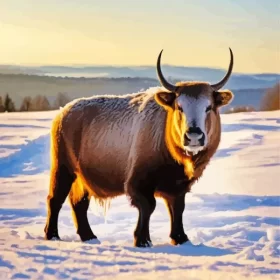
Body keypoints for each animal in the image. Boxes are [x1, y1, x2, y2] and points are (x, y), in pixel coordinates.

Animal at [44, 48, 234, 247]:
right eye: (179, 107)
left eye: (209, 107)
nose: (194, 135)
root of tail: (62, 112)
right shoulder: (138, 182)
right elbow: (148, 206)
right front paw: (142, 240)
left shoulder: (179, 184)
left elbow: (177, 207)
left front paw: (181, 238)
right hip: (63, 168)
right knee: (55, 199)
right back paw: (53, 235)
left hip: (81, 177)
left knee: (79, 202)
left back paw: (89, 236)